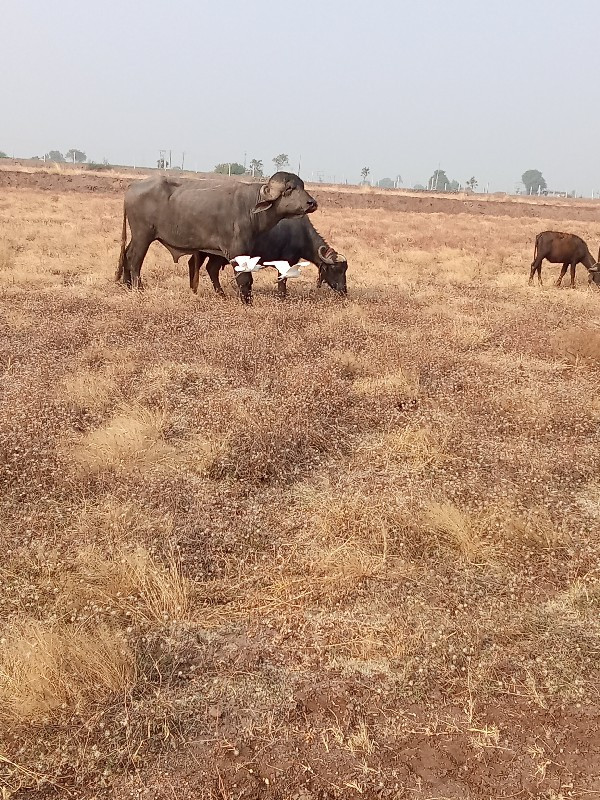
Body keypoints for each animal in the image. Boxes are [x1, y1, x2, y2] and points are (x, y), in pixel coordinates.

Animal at [114, 173, 316, 304]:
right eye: (289, 189)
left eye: (302, 187)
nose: (312, 203)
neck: (250, 207)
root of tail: (132, 187)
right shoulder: (237, 252)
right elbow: (245, 279)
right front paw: (247, 302)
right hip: (143, 235)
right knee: (135, 259)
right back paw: (137, 287)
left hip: (137, 236)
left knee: (126, 254)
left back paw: (126, 284)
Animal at [188, 216, 346, 296]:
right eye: (335, 269)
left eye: (345, 270)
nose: (343, 290)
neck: (302, 233)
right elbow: (282, 281)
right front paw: (282, 296)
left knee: (206, 268)